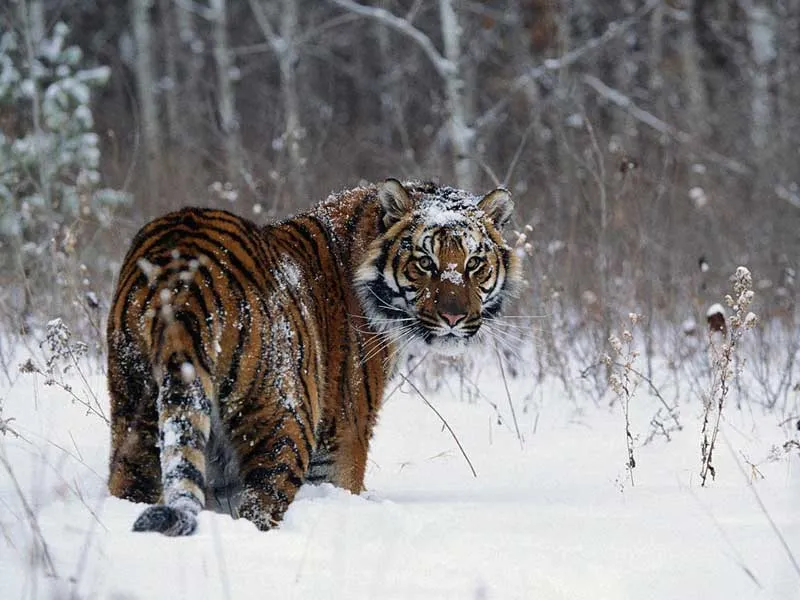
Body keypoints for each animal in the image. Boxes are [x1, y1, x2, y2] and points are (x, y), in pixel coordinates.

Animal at [106, 178, 521, 535]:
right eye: (425, 263)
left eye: (473, 263)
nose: (454, 318)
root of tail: (182, 275)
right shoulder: (343, 437)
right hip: (285, 422)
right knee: (260, 506)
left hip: (135, 411)